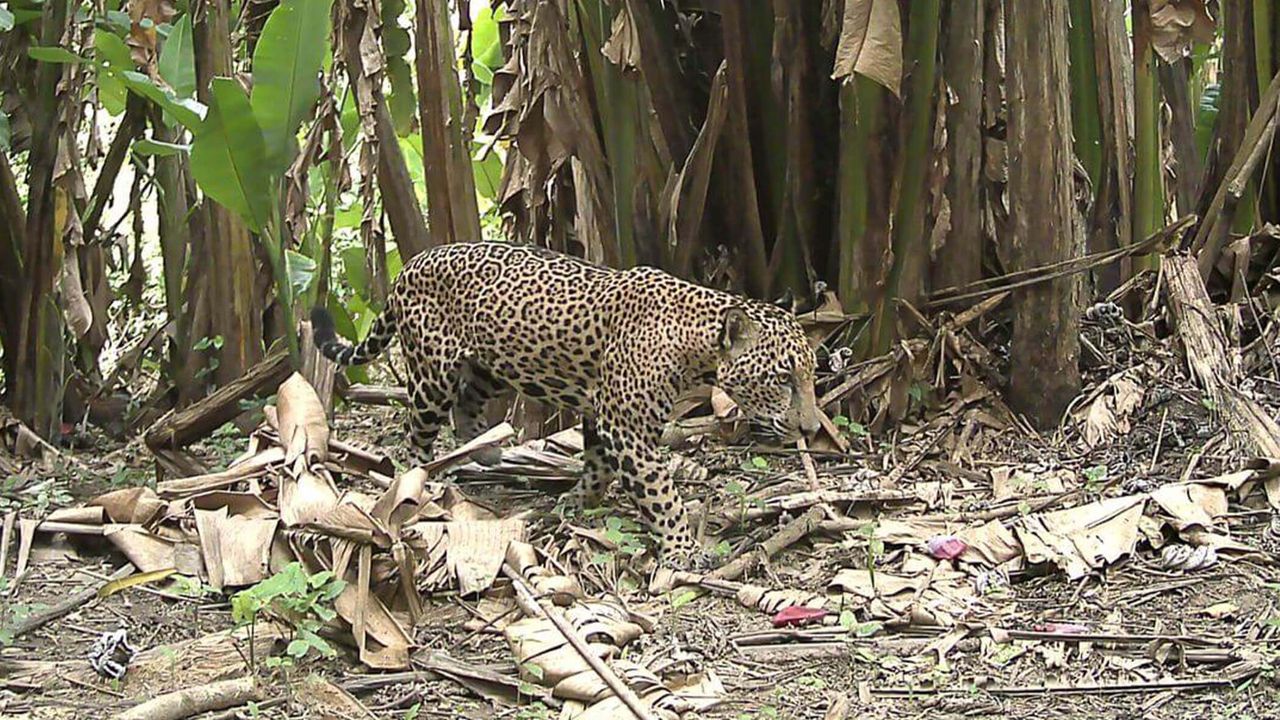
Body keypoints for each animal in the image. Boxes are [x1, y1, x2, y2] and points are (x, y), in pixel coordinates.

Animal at [311, 241, 821, 567]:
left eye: (812, 375)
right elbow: (661, 493)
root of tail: (409, 263)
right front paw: (681, 549)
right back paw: (421, 479)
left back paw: (485, 451)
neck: (693, 341)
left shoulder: (603, 414)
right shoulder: (629, 428)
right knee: (417, 430)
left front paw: (576, 503)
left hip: (491, 368)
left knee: (468, 406)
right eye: (782, 379)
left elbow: (597, 466)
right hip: (431, 374)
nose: (813, 430)